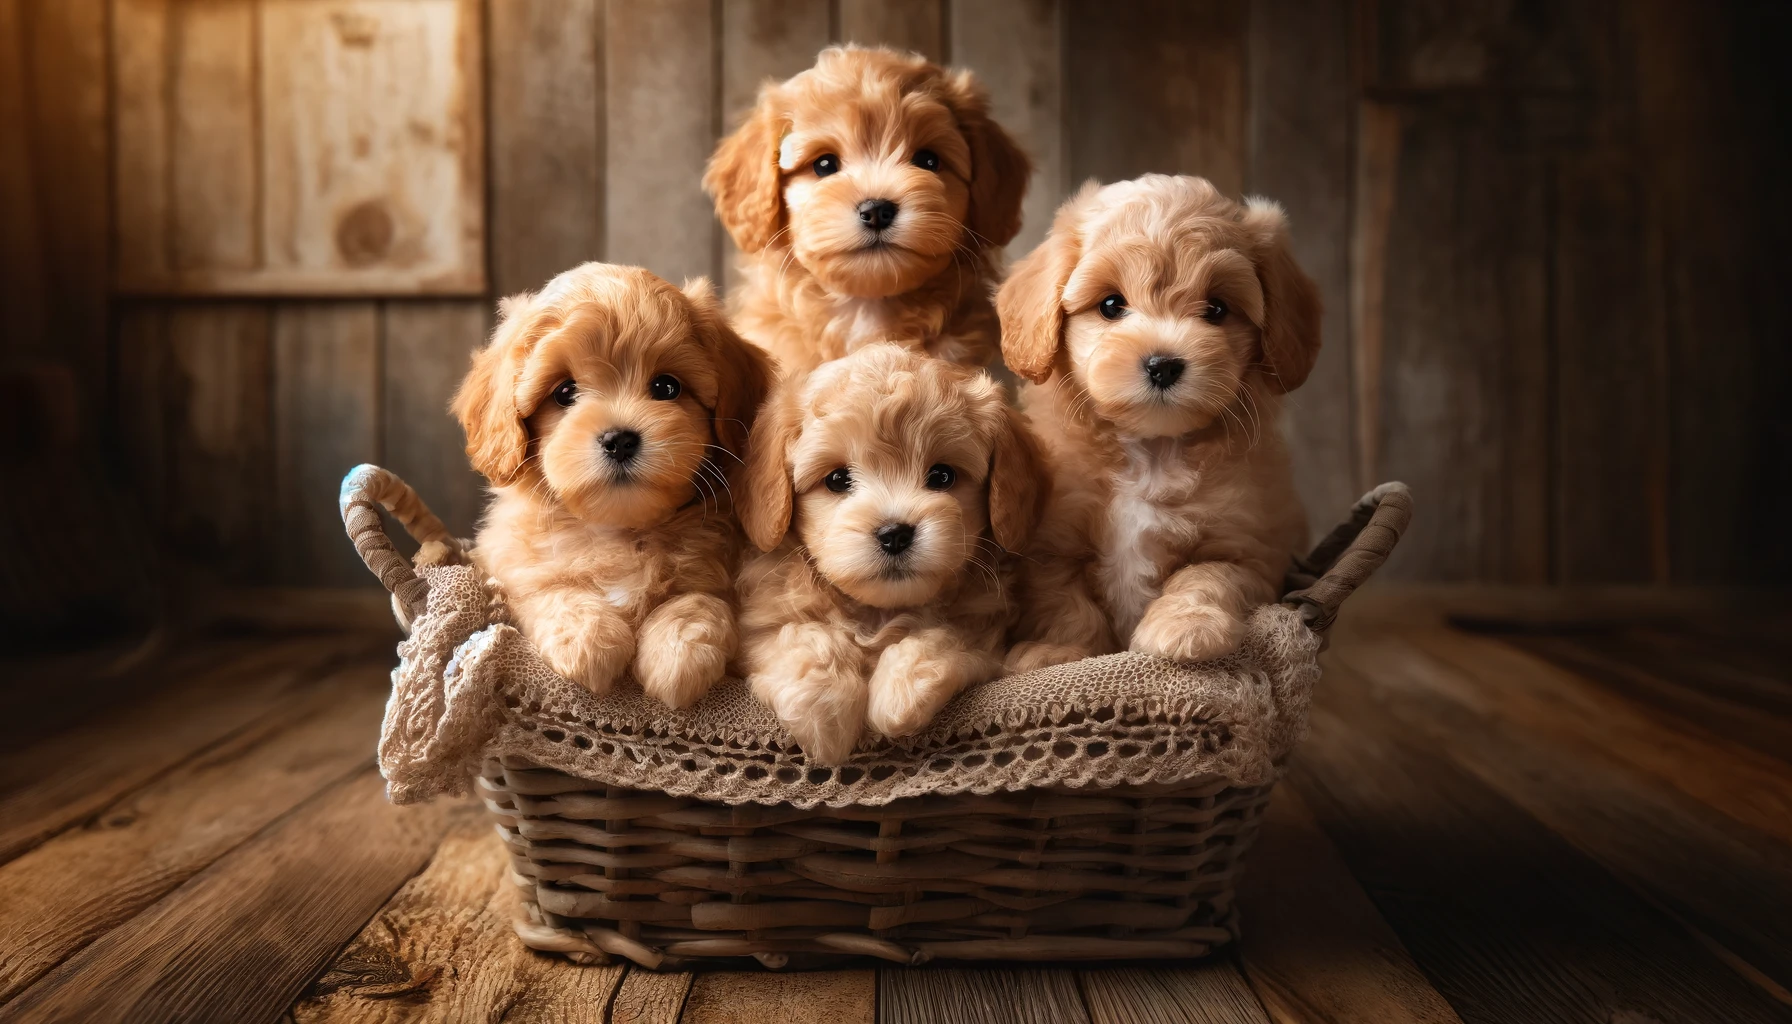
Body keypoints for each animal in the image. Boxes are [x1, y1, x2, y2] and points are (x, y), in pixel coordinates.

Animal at [451, 263, 766, 710]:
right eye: (564, 392)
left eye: (666, 387)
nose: (619, 439)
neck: (619, 530)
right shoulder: (515, 569)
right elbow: (552, 591)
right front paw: (590, 642)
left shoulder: (720, 576)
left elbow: (699, 602)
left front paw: (677, 654)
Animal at [734, 344, 1046, 760]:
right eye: (837, 479)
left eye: (942, 476)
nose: (894, 534)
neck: (878, 613)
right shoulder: (760, 625)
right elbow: (798, 637)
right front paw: (827, 713)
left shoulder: (983, 626)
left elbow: (946, 635)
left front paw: (902, 689)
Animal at [1003, 176, 1326, 674]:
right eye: (1111, 305)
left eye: (1216, 309)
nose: (1163, 365)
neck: (1153, 450)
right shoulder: (1051, 547)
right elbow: (1066, 605)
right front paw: (1056, 653)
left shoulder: (1247, 546)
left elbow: (1207, 574)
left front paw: (1186, 628)